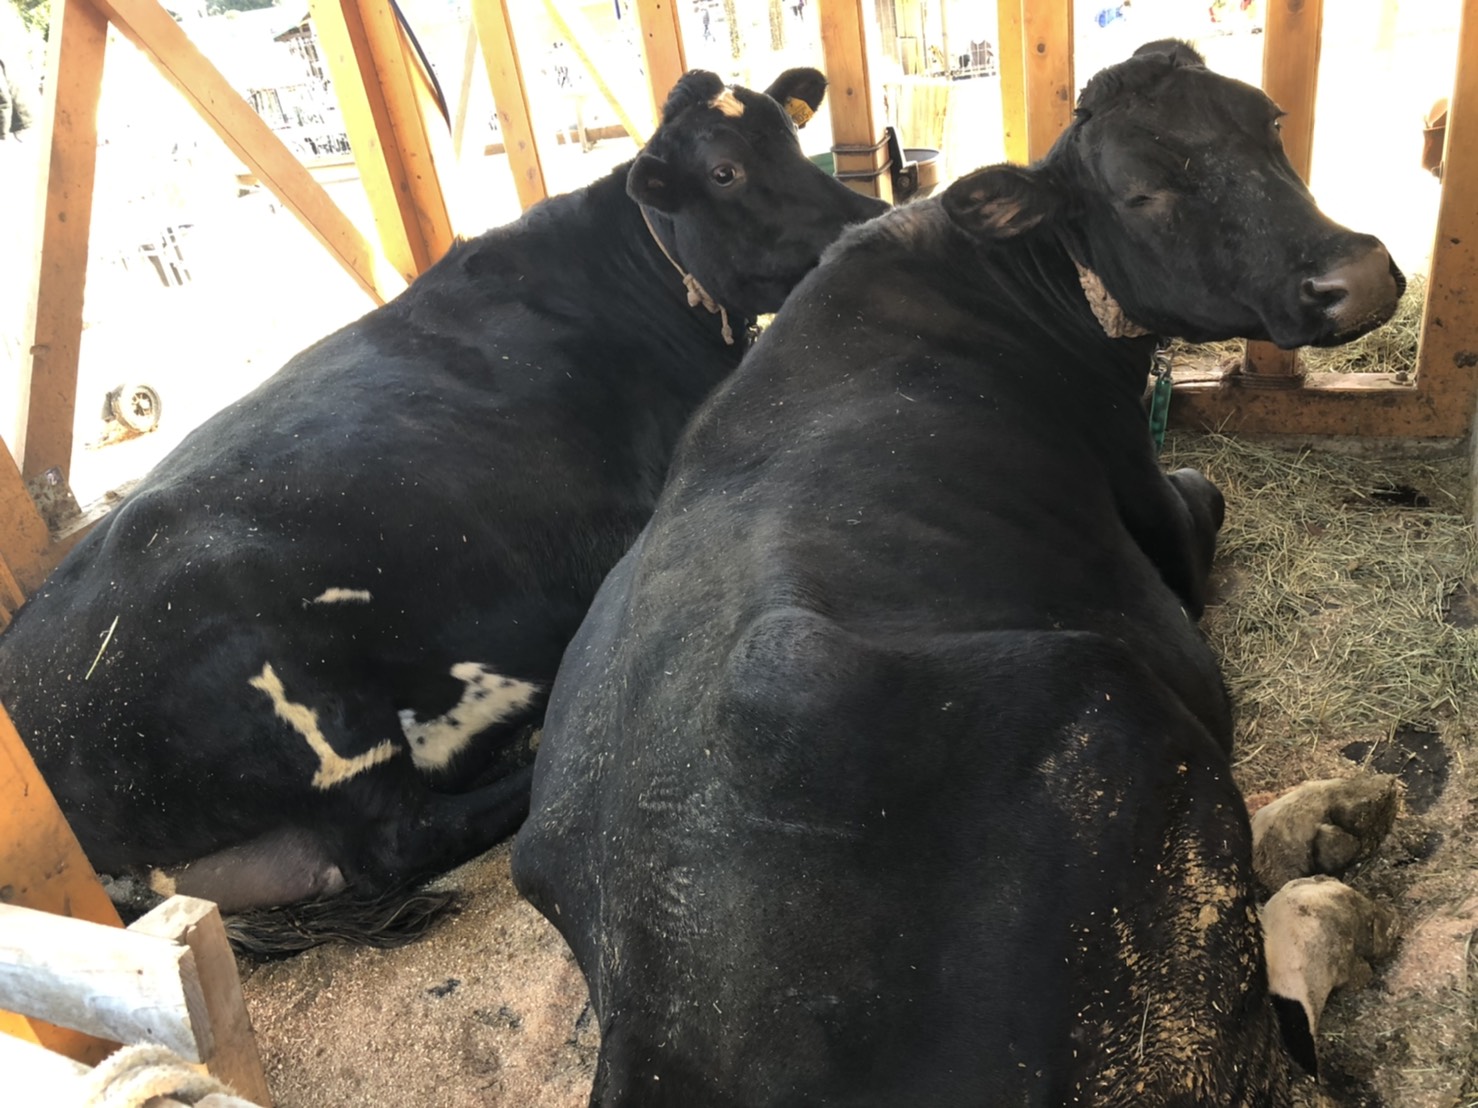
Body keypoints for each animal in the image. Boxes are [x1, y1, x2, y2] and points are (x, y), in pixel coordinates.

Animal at [511, 41, 1405, 1104]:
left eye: (1268, 121)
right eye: (1142, 191)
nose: (1358, 274)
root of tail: (655, 1025)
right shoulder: (1157, 511)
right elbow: (1206, 495)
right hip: (1117, 750)